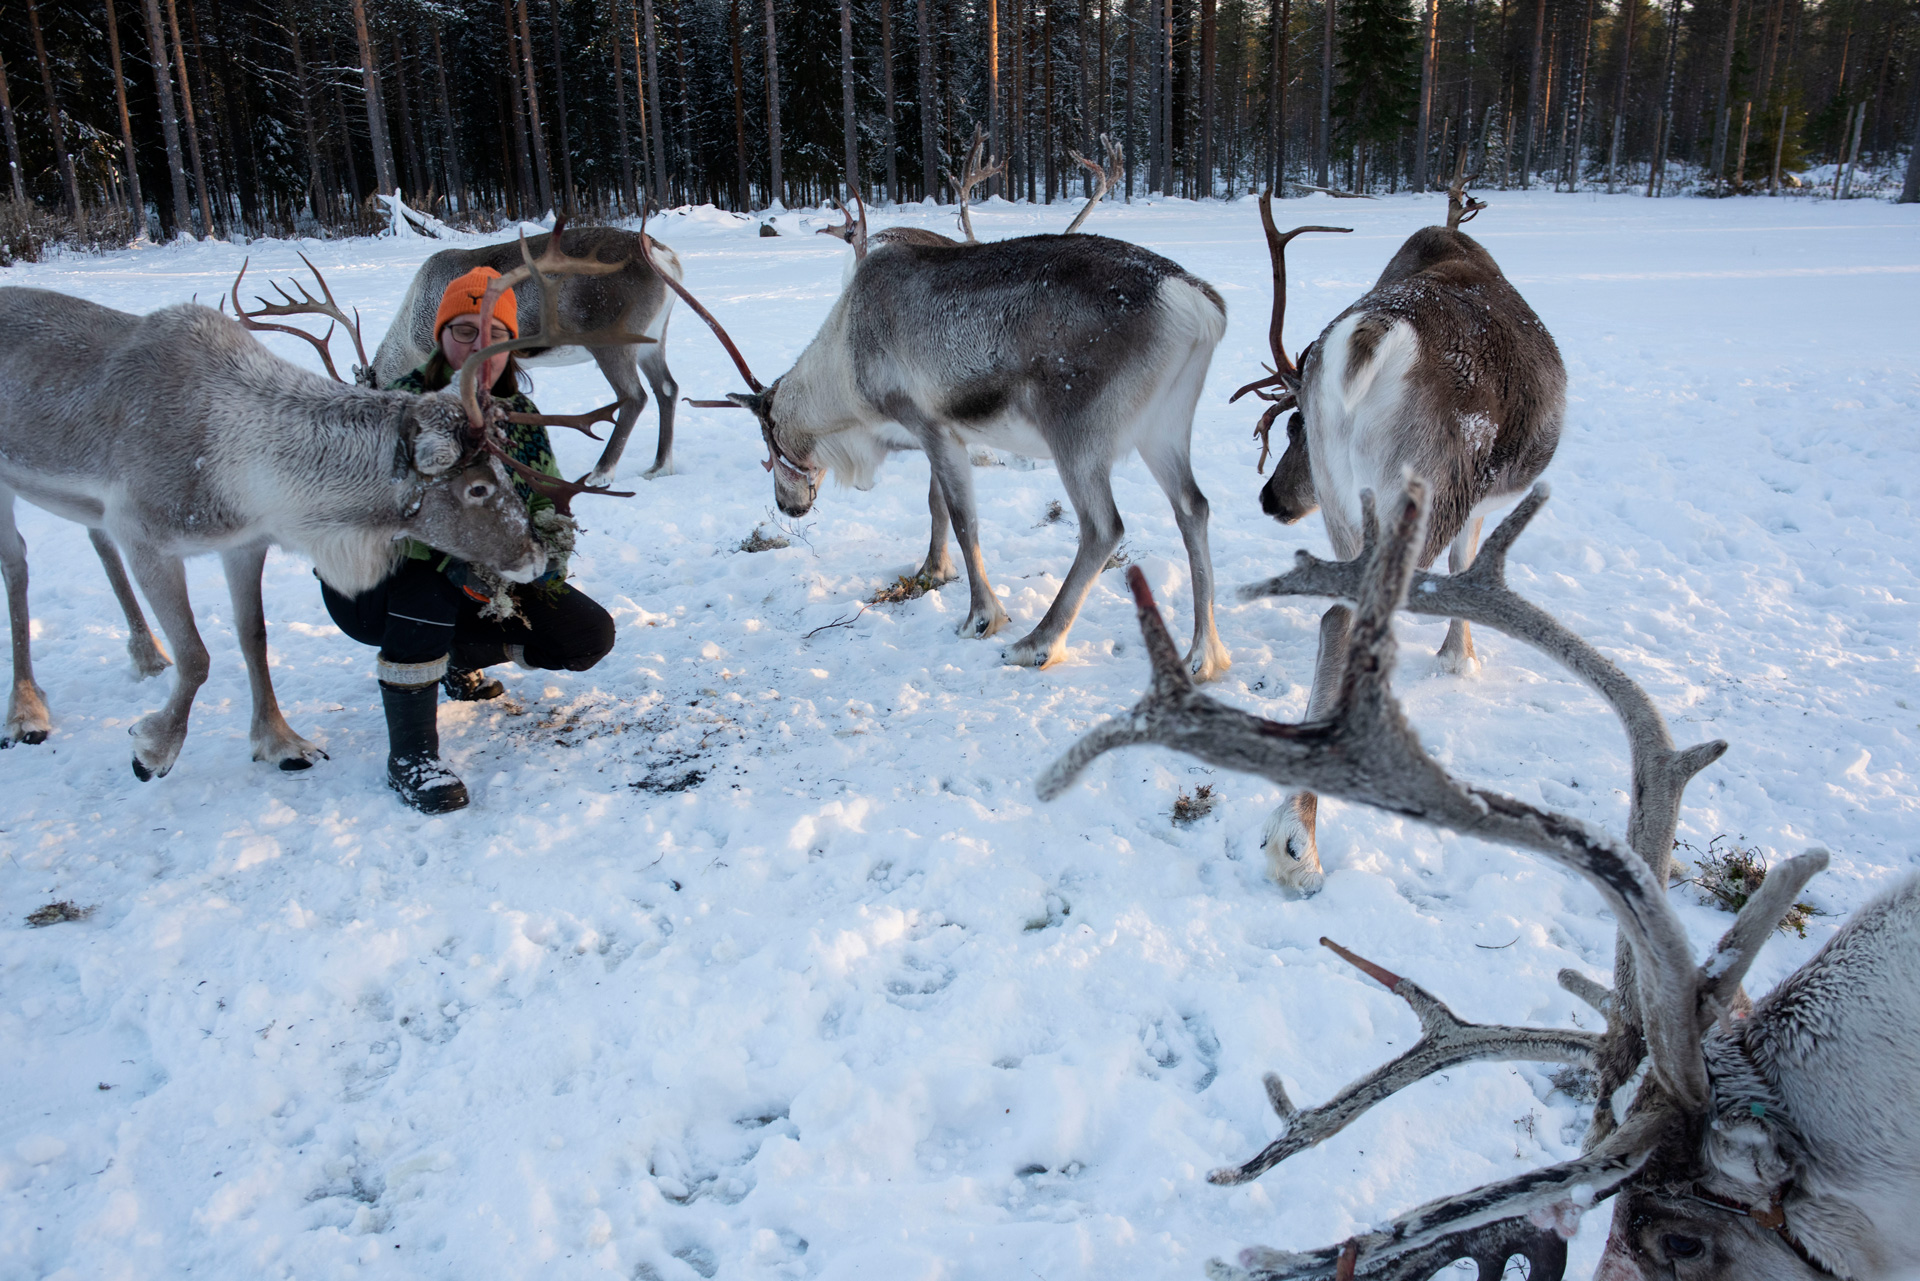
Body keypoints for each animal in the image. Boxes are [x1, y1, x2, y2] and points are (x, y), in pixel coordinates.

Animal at [0, 231, 639, 780]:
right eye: (478, 487)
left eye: (509, 471)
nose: (537, 558)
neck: (240, 464)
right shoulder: (145, 532)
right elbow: (198, 655)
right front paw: (153, 748)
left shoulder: (244, 542)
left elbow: (253, 636)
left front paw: (280, 742)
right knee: (19, 562)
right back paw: (27, 712)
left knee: (91, 539)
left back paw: (143, 654)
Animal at [369, 223, 684, 482]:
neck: (410, 339)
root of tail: (662, 256)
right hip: (653, 337)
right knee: (667, 387)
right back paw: (659, 467)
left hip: (611, 341)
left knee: (634, 396)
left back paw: (600, 474)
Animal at [649, 198, 1233, 679]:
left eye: (769, 444)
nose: (787, 507)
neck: (846, 358)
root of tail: (1196, 303)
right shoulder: (945, 434)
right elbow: (937, 507)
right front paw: (933, 571)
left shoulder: (928, 424)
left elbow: (963, 517)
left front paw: (981, 617)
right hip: (1164, 428)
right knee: (1194, 507)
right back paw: (1203, 654)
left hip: (1077, 433)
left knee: (1104, 527)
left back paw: (1037, 643)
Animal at [1236, 189, 1564, 892]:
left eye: (1296, 425)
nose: (1271, 498)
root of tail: (1373, 337)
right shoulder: (1475, 501)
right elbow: (1467, 565)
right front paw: (1458, 658)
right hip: (1429, 488)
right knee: (1353, 618)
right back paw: (1297, 838)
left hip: (1347, 507)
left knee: (1335, 617)